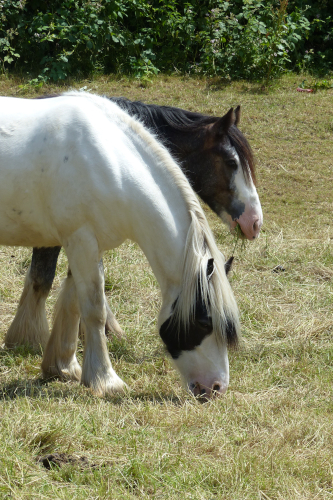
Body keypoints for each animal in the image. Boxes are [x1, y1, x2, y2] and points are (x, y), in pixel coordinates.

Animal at [0, 92, 239, 398]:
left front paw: (63, 366)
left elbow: (74, 302)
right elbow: (94, 309)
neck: (108, 162)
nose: (216, 388)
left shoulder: (88, 244)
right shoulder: (80, 239)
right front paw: (105, 380)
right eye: (204, 321)